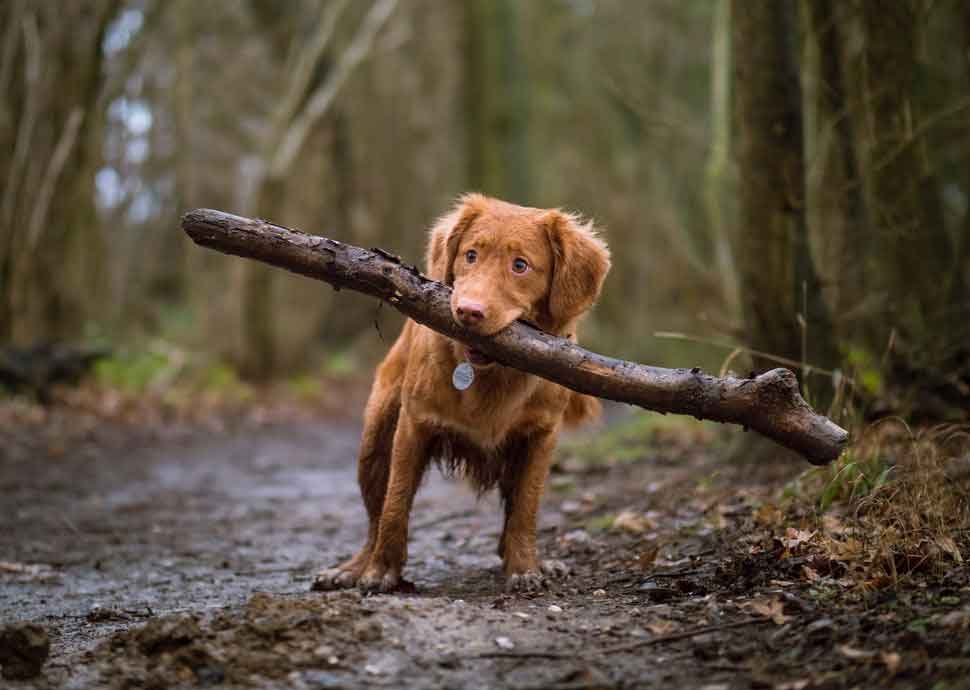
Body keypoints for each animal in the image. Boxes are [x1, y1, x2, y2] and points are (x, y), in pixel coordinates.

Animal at [314, 194, 608, 592]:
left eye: (520, 266)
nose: (468, 311)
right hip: (375, 439)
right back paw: (353, 567)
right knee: (375, 516)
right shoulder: (413, 425)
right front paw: (381, 571)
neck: (492, 376)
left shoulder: (541, 436)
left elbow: (525, 508)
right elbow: (395, 504)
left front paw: (525, 567)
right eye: (471, 255)